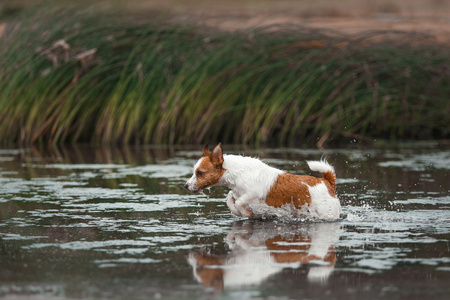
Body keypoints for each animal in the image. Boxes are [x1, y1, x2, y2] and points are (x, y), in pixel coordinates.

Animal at [184, 143, 342, 220]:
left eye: (200, 173)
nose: (185, 186)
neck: (236, 173)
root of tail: (327, 181)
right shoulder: (237, 192)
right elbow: (230, 200)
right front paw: (237, 211)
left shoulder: (253, 193)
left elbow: (239, 202)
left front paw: (245, 213)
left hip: (326, 214)